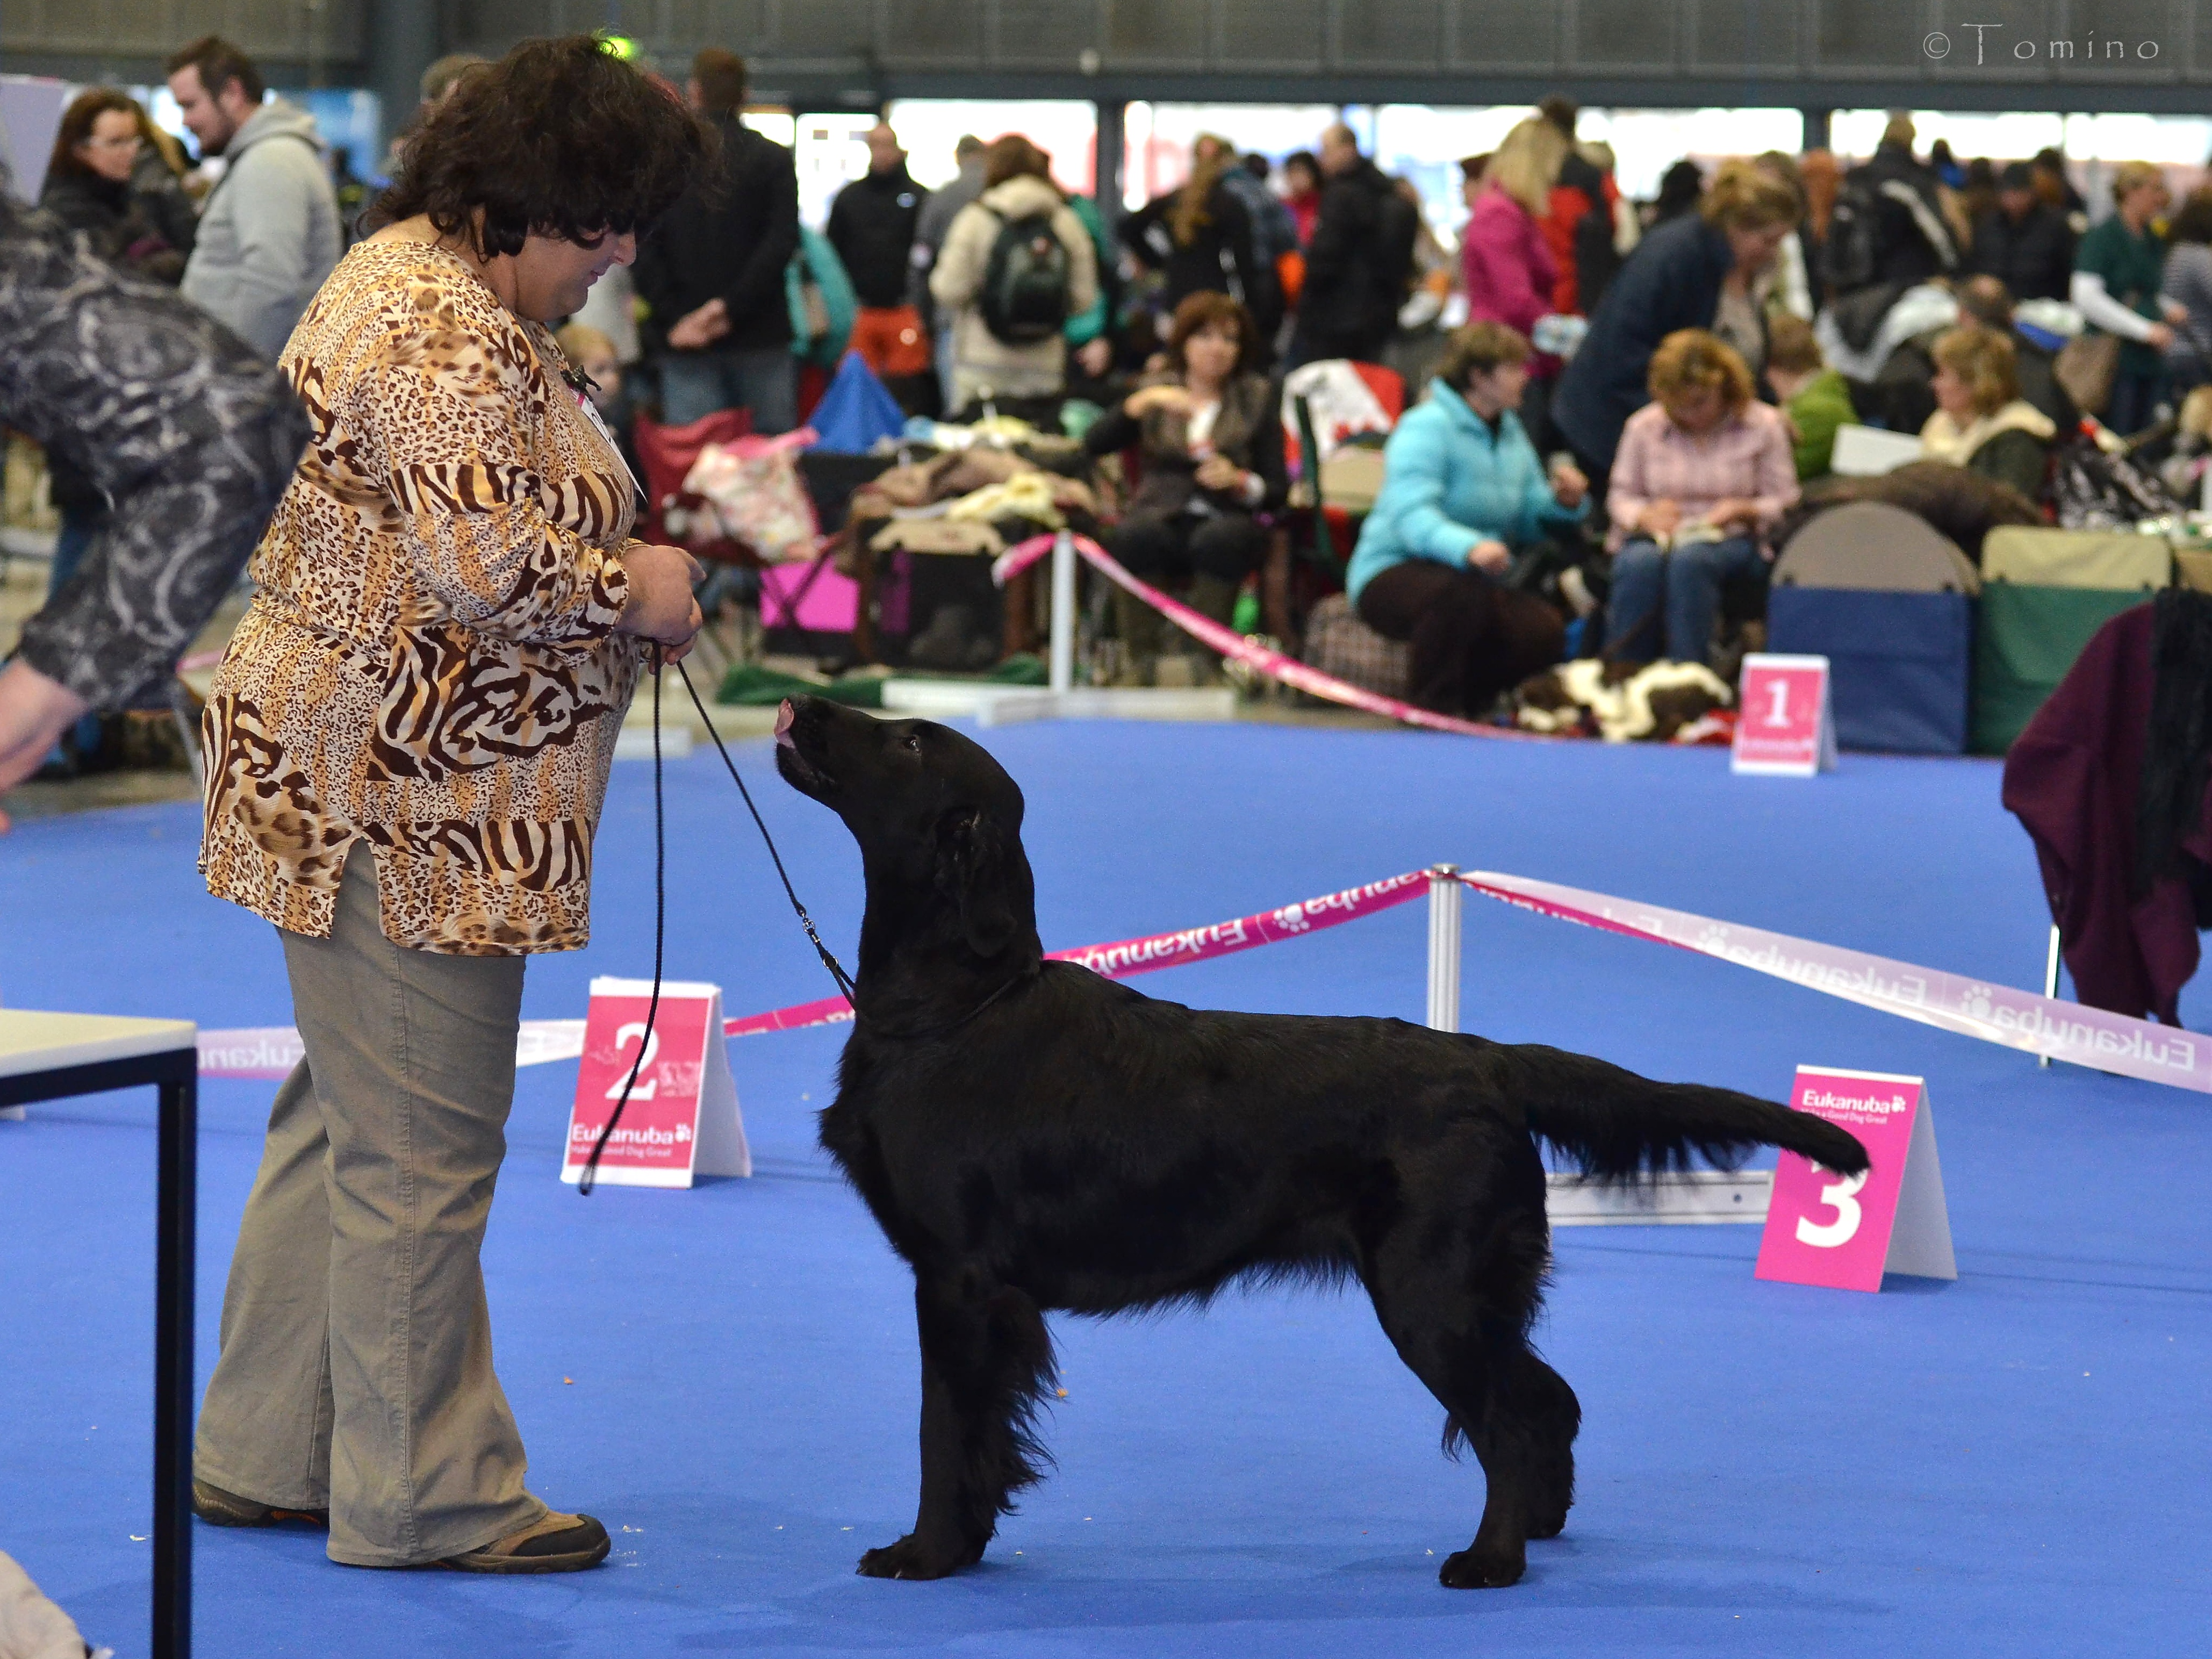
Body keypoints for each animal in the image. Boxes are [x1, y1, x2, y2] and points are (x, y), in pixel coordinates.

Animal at [773, 695, 1868, 1590]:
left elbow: (944, 1429)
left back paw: (1491, 1559)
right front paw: (959, 1547)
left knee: (1511, 1419)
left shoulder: (958, 1277)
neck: (956, 1004)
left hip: (1428, 1291)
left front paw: (926, 1553)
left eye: (909, 739)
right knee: (1549, 1399)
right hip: (1465, 1290)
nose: (801, 701)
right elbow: (974, 1437)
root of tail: (1488, 1060)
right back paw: (1544, 1527)